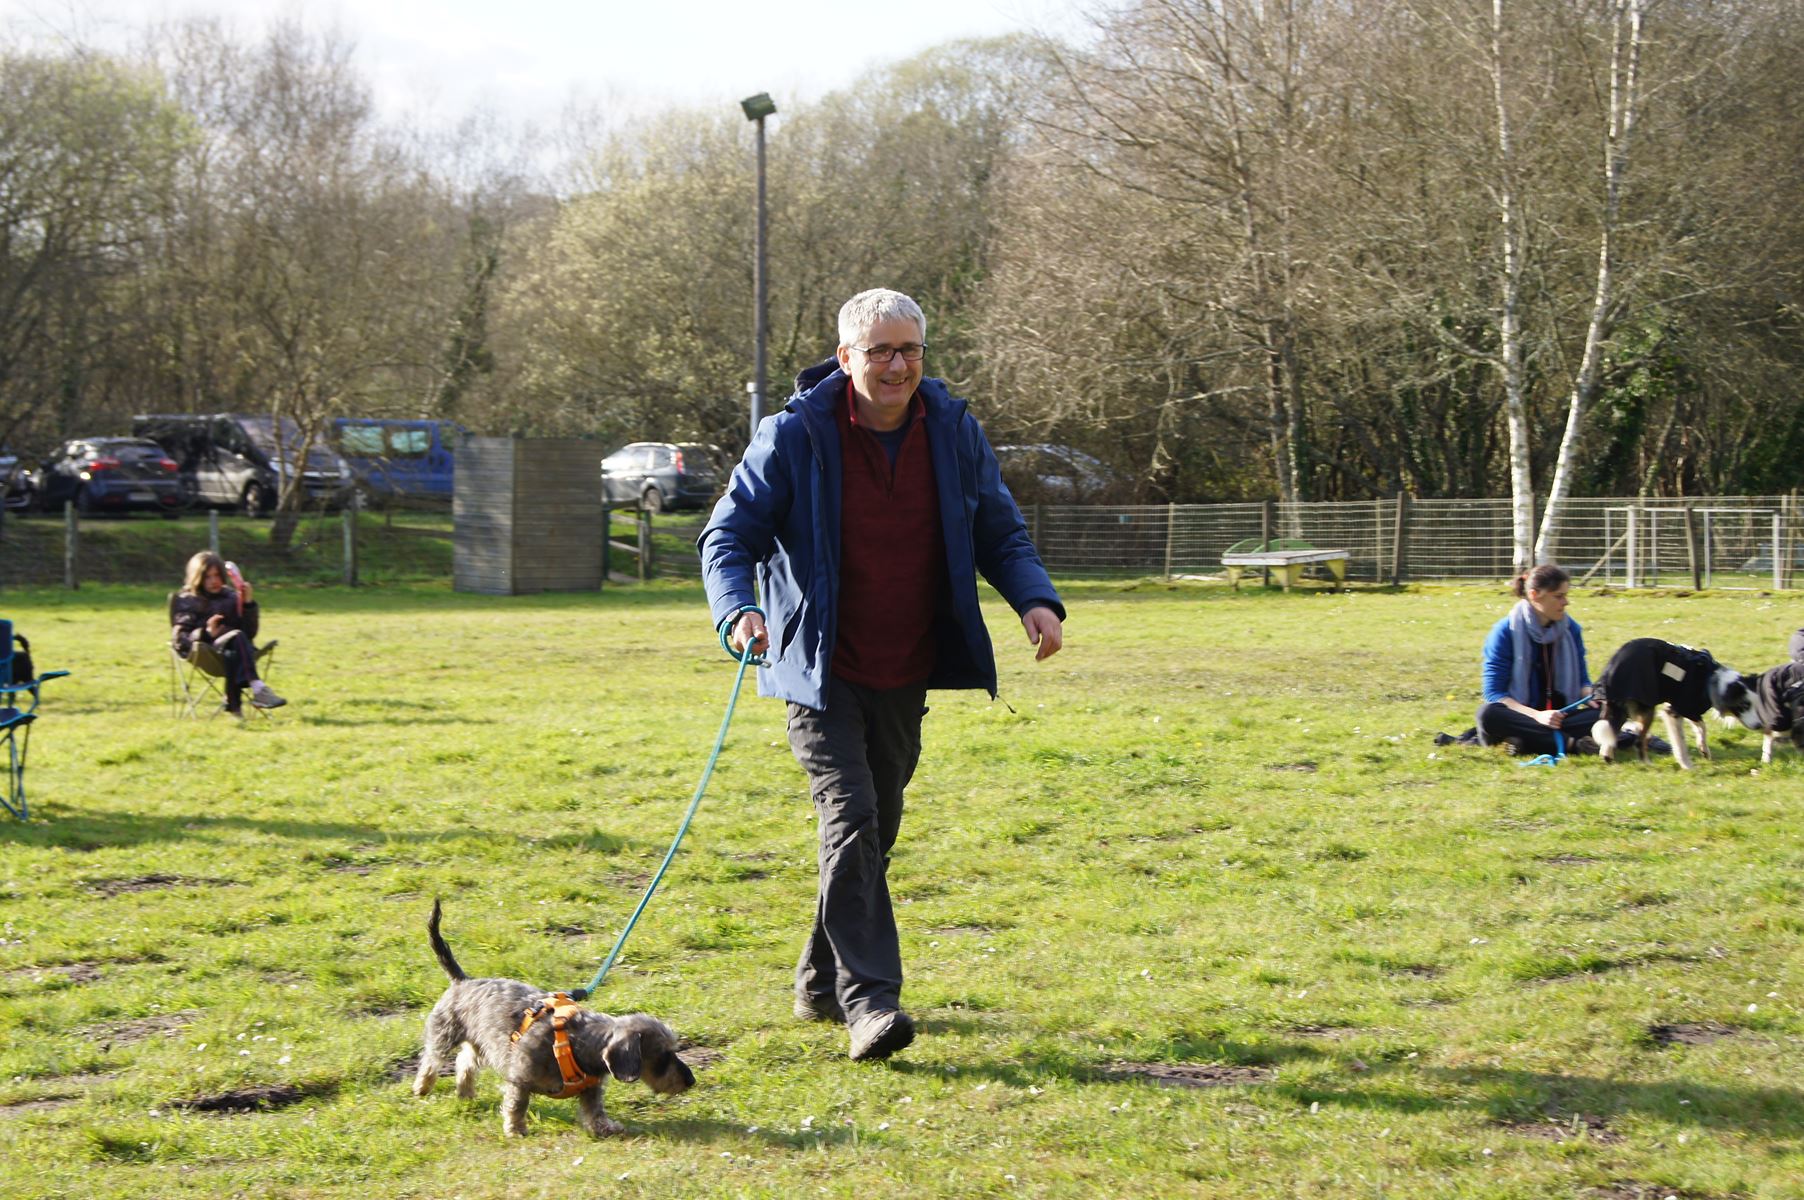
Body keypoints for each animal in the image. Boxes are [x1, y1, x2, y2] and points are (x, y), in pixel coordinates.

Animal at [413, 902, 692, 1140]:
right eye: (663, 1055)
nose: (691, 1080)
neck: (579, 1043)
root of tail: (463, 980)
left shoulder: (591, 1089)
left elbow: (594, 1110)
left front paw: (605, 1128)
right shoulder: (520, 1078)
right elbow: (517, 1104)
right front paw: (516, 1129)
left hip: (480, 1043)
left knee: (465, 1062)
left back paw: (466, 1092)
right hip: (443, 1034)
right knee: (431, 1061)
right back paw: (422, 1087)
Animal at [1601, 635, 1753, 768]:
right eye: (1745, 705)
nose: (1757, 726)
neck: (1712, 681)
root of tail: (1611, 668)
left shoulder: (1686, 708)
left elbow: (1701, 727)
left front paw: (1704, 750)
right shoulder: (1676, 710)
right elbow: (1681, 741)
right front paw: (1687, 765)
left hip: (1620, 710)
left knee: (1610, 736)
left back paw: (1609, 757)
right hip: (1646, 708)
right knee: (1638, 741)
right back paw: (1647, 763)